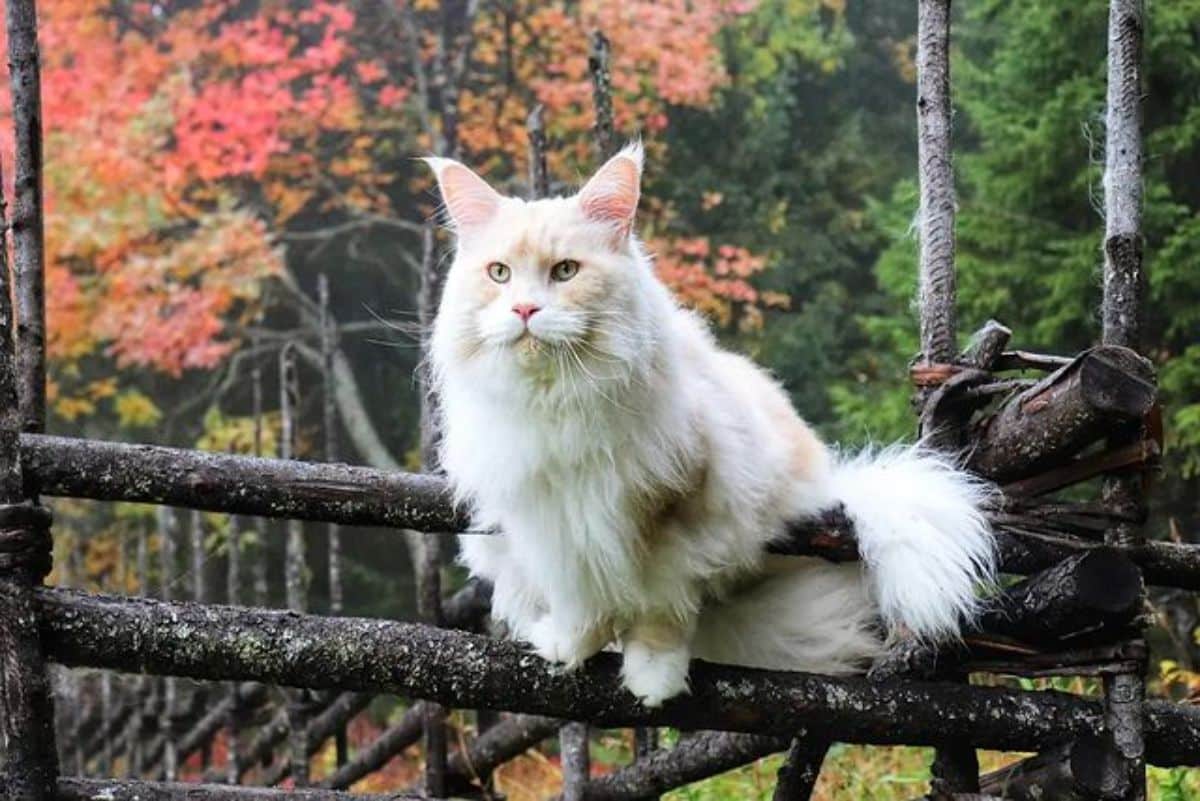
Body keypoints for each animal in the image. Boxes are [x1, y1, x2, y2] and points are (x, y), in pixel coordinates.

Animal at [427, 143, 988, 705]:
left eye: (565, 271)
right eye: (499, 274)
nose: (524, 309)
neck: (557, 403)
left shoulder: (677, 513)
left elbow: (660, 607)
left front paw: (654, 677)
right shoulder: (551, 526)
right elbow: (582, 601)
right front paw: (570, 646)